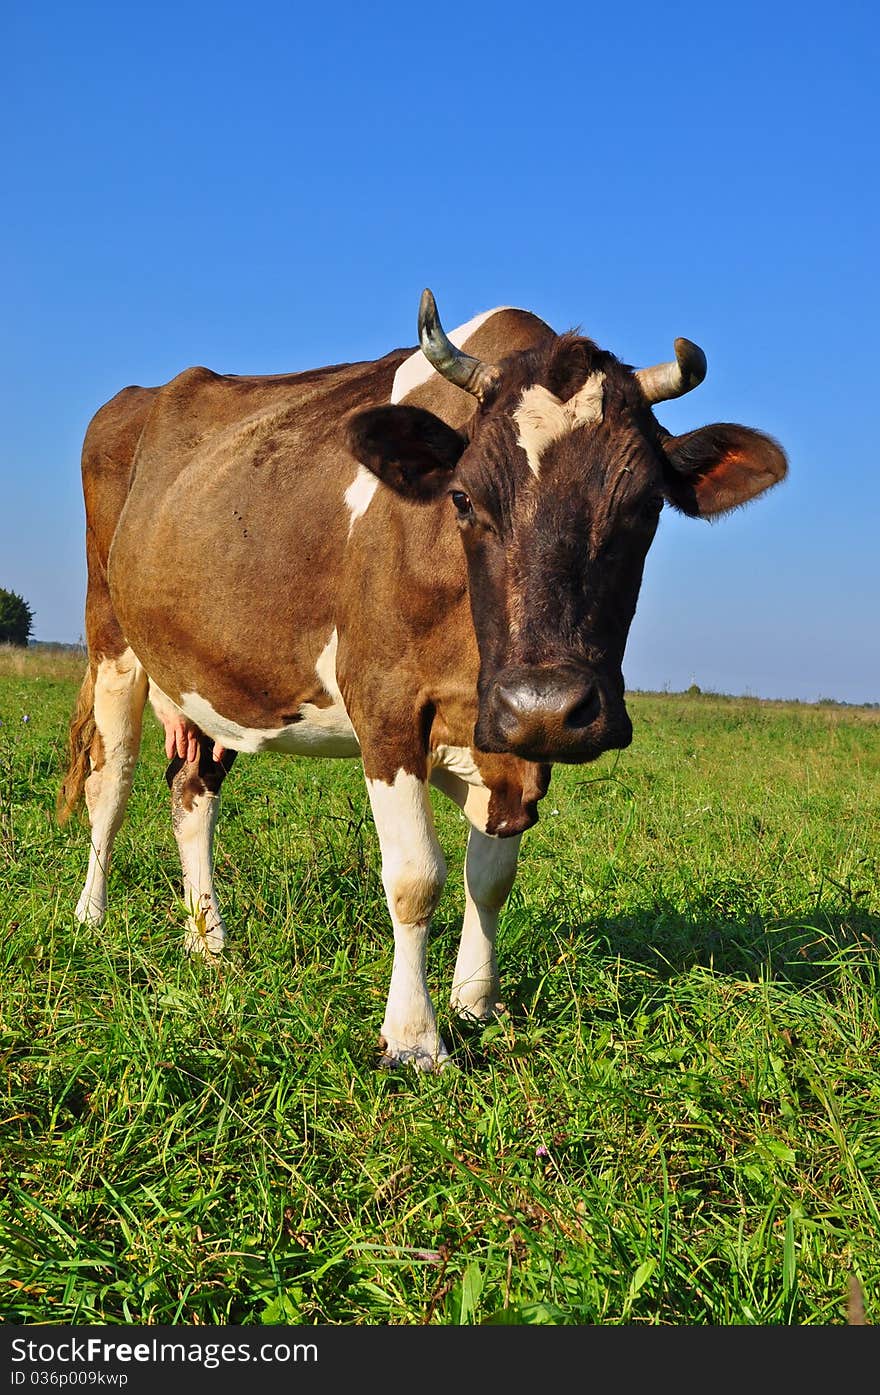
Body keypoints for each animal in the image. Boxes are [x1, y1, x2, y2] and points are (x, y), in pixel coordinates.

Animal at [58, 285, 786, 1065]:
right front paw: (413, 1037)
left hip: (218, 676)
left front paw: (474, 1003)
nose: (549, 702)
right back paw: (91, 916)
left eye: (647, 505)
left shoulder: (509, 731)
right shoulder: (385, 706)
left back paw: (210, 943)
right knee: (111, 781)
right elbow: (416, 877)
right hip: (111, 639)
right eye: (463, 499)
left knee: (193, 791)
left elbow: (491, 876)